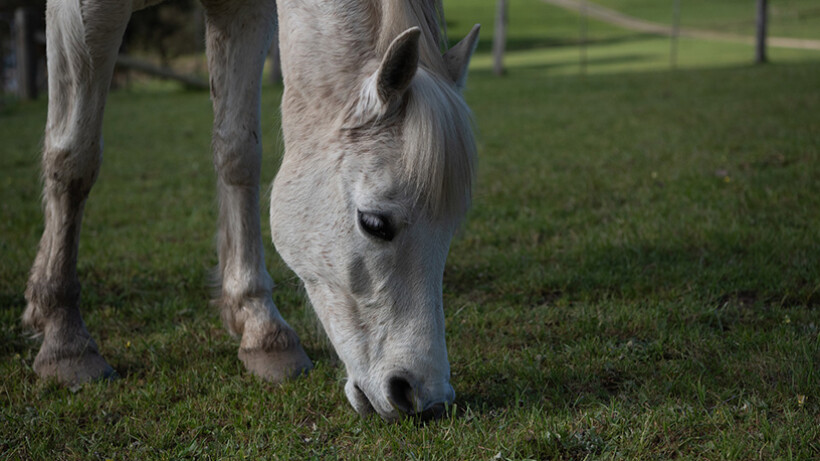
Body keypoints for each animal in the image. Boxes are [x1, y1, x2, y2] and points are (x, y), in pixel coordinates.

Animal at [25, 0, 478, 422]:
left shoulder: (241, 11)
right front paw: (65, 341)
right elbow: (74, 158)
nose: (426, 399)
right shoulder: (84, 12)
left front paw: (262, 328)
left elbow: (238, 152)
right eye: (374, 223)